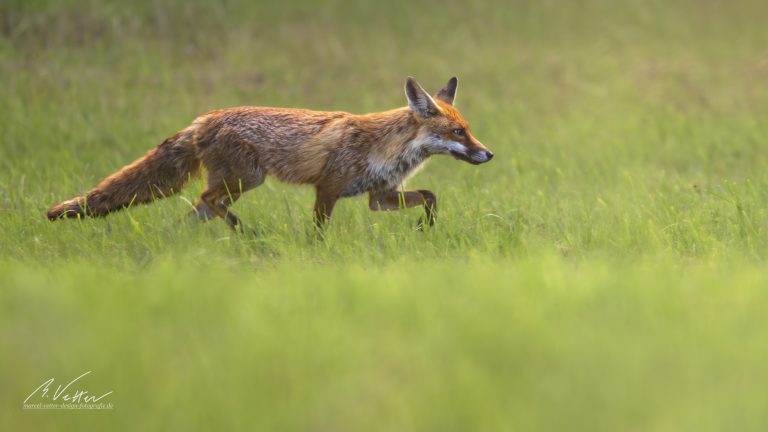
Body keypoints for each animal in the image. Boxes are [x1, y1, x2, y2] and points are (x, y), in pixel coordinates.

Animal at [46, 77, 492, 230]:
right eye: (458, 132)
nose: (488, 154)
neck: (384, 146)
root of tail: (204, 118)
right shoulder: (328, 189)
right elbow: (319, 232)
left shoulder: (377, 197)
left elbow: (431, 197)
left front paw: (425, 228)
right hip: (246, 179)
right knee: (206, 199)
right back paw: (246, 231)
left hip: (233, 185)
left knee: (188, 217)